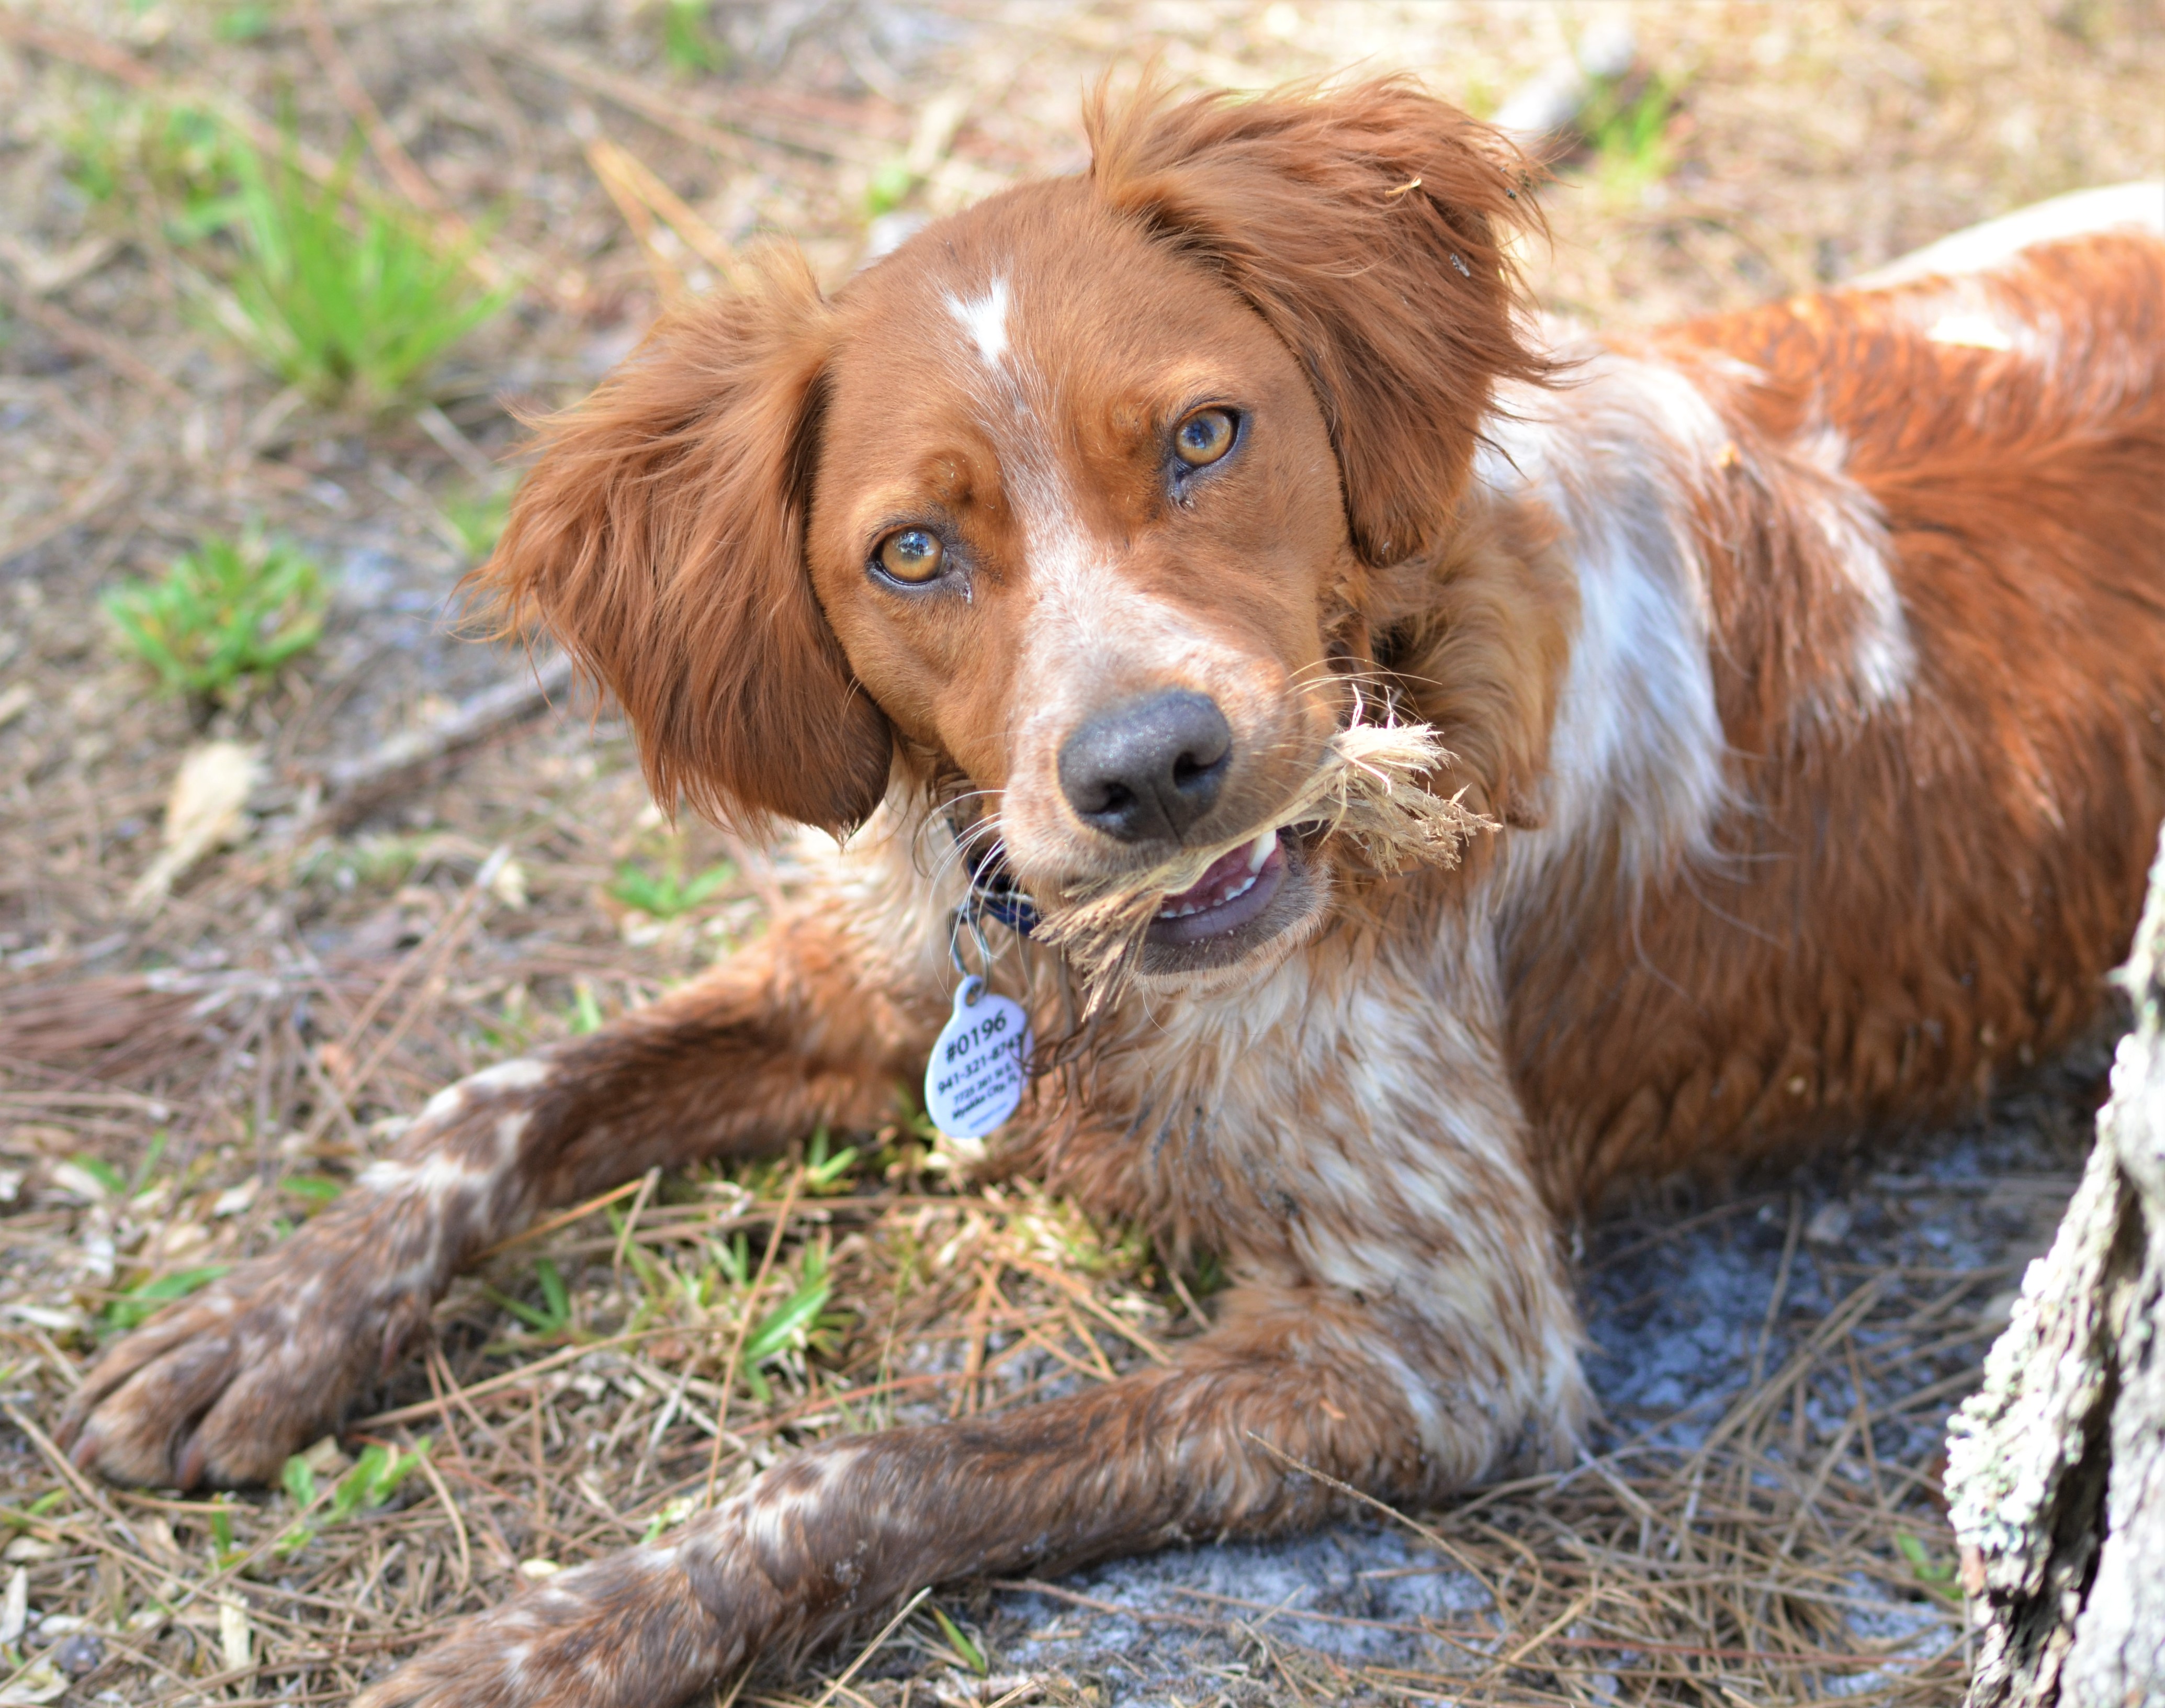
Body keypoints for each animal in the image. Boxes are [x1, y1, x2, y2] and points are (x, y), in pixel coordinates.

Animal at [51, 73, 2165, 1697]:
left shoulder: (1442, 1341)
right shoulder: (895, 968)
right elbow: (502, 1094)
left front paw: (573, 1630)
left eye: (1207, 435)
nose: (1151, 767)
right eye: (910, 551)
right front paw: (265, 1319)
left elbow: (877, 1467)